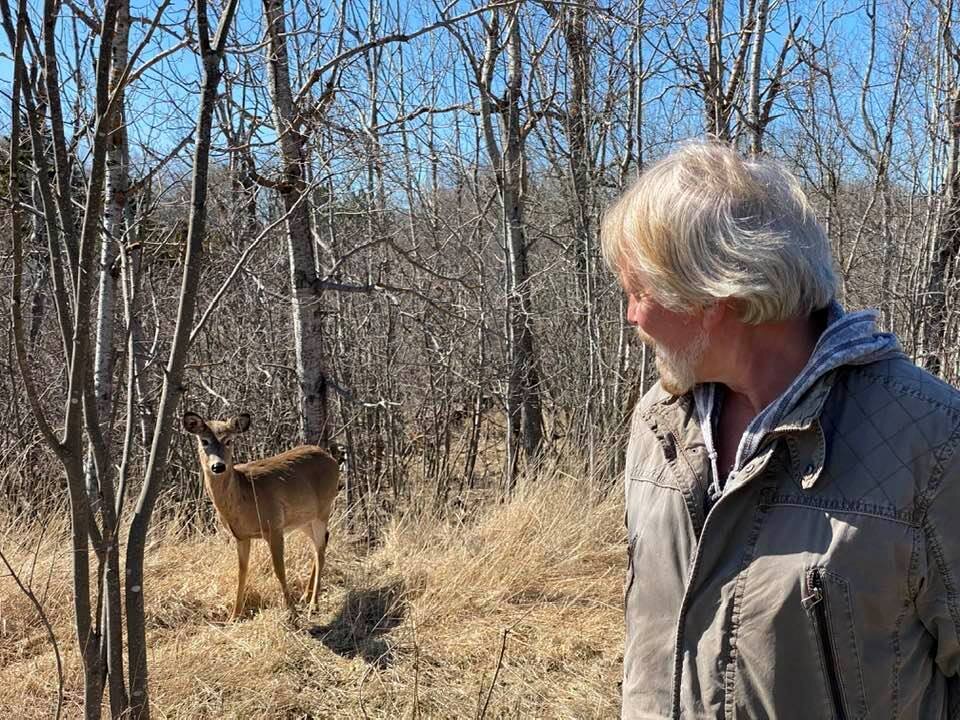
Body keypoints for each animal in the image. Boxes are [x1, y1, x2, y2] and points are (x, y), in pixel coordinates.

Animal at [183, 410, 342, 620]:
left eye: (229, 440)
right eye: (204, 441)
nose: (218, 466)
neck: (245, 498)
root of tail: (331, 458)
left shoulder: (273, 526)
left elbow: (279, 569)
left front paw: (292, 613)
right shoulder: (241, 536)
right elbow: (241, 571)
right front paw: (234, 616)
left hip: (324, 508)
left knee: (320, 551)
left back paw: (312, 605)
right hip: (303, 518)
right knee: (322, 542)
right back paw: (306, 597)